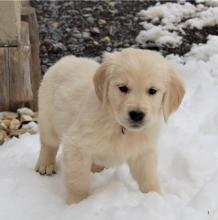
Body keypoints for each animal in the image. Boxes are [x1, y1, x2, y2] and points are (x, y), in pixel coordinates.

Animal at [35, 48, 185, 205]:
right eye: (123, 88)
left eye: (152, 91)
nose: (137, 114)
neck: (119, 126)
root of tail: (66, 59)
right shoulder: (76, 145)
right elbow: (78, 181)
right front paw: (78, 203)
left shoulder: (143, 151)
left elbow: (148, 177)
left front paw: (155, 197)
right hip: (48, 118)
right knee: (48, 144)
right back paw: (45, 165)